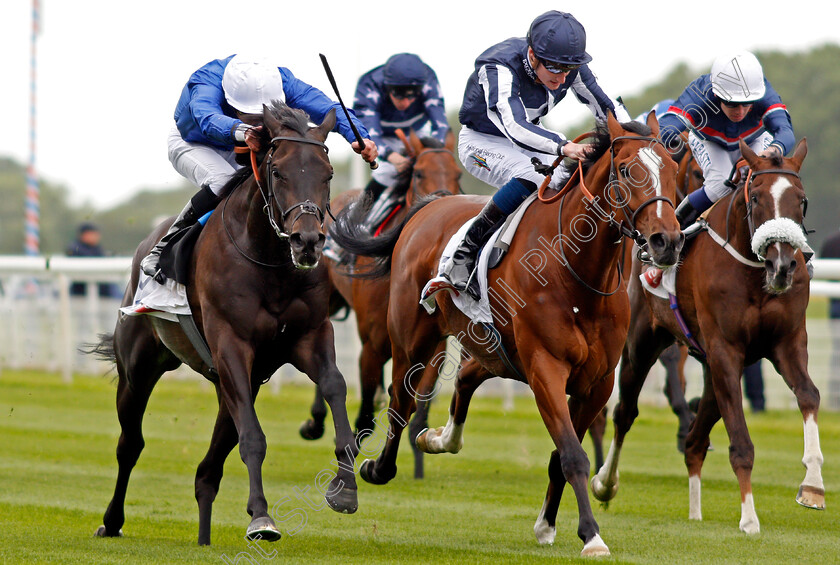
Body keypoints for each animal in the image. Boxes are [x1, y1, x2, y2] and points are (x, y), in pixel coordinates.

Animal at [93, 103, 360, 544]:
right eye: (278, 172)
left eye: (328, 174)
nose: (307, 241)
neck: (270, 261)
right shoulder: (231, 344)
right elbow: (252, 437)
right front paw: (261, 517)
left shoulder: (309, 336)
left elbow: (336, 387)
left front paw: (345, 488)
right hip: (139, 369)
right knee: (130, 444)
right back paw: (112, 520)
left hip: (235, 382)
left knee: (208, 469)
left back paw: (203, 535)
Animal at [300, 131, 462, 476]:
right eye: (419, 173)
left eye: (457, 174)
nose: (443, 204)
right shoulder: (372, 346)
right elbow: (364, 414)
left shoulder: (432, 347)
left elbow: (414, 406)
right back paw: (316, 421)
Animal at [334, 111, 684, 556]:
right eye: (625, 170)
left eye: (671, 168)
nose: (667, 241)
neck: (579, 273)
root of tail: (427, 208)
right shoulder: (545, 369)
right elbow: (572, 455)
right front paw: (592, 535)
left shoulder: (597, 381)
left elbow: (561, 455)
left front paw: (549, 525)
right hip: (411, 341)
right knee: (401, 402)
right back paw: (376, 468)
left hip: (492, 347)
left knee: (464, 378)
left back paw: (439, 438)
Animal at [592, 138, 828, 532]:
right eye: (755, 199)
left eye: (802, 200)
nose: (783, 265)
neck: (753, 273)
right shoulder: (725, 350)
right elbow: (741, 444)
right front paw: (749, 518)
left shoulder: (787, 343)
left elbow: (809, 395)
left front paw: (812, 486)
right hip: (643, 343)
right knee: (625, 413)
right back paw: (605, 484)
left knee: (694, 441)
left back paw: (695, 512)